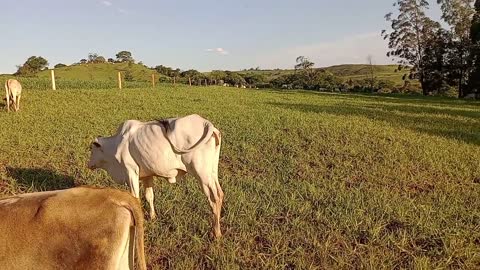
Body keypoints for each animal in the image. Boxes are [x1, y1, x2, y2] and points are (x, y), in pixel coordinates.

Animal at [87, 114, 224, 238]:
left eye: (92, 149)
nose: (88, 164)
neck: (116, 145)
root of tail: (206, 123)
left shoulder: (131, 172)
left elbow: (135, 198)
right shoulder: (147, 176)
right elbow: (149, 196)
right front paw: (153, 217)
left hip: (202, 175)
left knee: (214, 198)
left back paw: (216, 233)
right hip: (212, 172)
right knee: (220, 194)